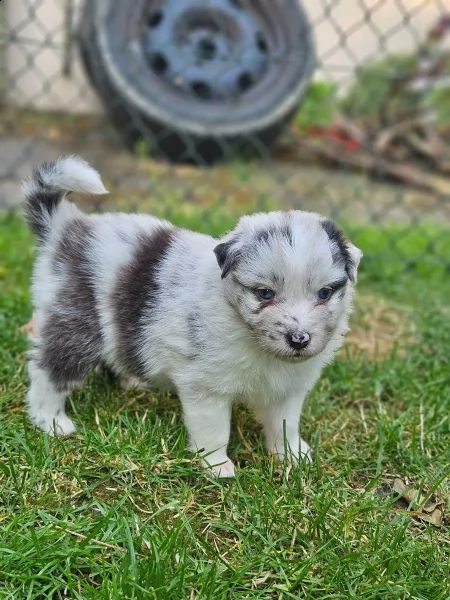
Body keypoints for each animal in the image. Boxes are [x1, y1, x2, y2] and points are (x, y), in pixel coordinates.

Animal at [23, 157, 362, 476]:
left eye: (325, 293)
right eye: (265, 294)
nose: (299, 339)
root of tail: (68, 226)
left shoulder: (287, 389)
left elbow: (285, 424)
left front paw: (291, 455)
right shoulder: (206, 386)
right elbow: (214, 430)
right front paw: (217, 466)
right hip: (76, 321)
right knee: (49, 370)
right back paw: (51, 420)